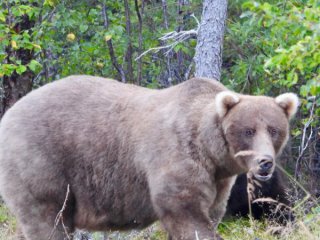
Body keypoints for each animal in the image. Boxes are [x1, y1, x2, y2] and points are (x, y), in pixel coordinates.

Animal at [0, 76, 298, 239]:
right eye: (248, 130)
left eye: (274, 130)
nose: (265, 162)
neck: (211, 151)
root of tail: (9, 113)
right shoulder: (177, 156)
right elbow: (186, 211)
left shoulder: (219, 181)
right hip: (42, 162)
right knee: (48, 219)